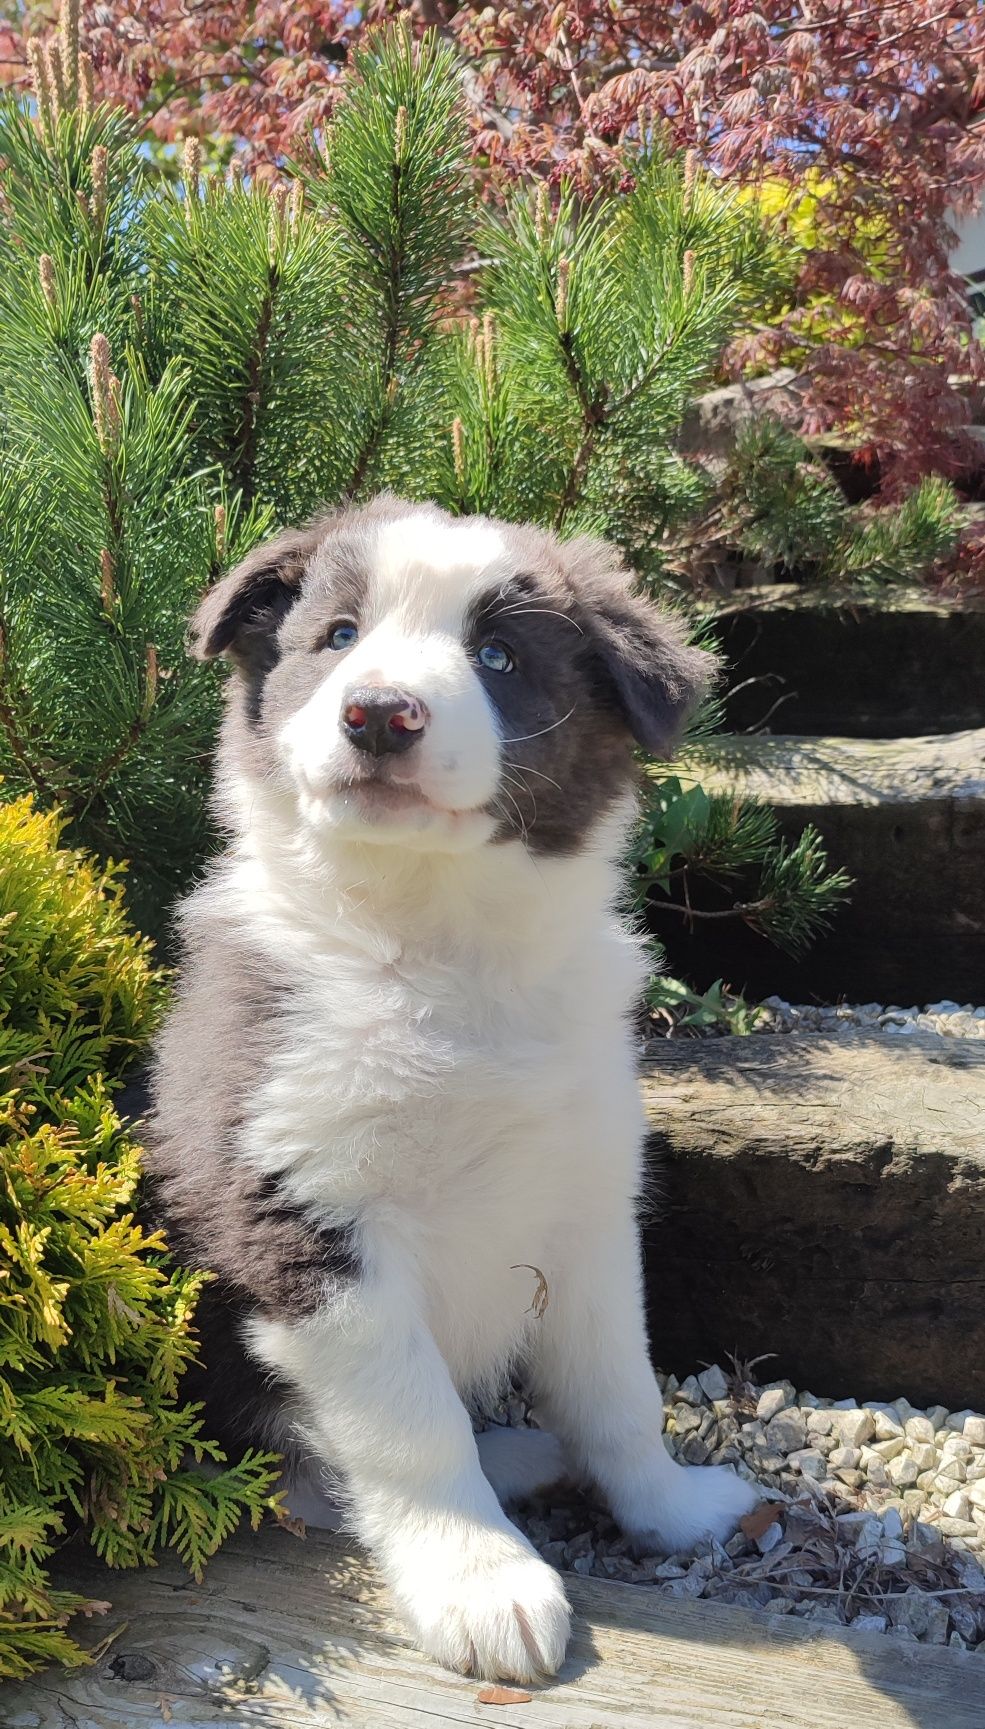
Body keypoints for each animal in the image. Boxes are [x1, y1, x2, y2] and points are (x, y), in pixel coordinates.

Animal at [147, 494, 760, 1680]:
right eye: (338, 636)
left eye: (498, 657)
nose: (379, 714)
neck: (435, 946)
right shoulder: (299, 1217)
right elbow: (410, 1421)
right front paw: (483, 1581)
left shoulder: (586, 1200)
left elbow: (619, 1384)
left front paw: (670, 1509)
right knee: (314, 1469)